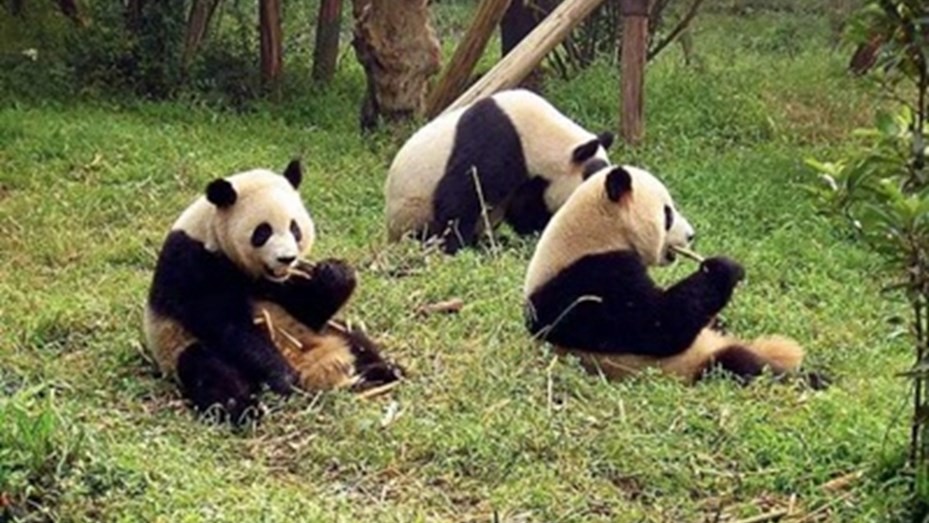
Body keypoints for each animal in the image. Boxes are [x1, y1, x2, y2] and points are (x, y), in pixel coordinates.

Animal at [144, 160, 402, 423]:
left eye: (295, 228)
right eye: (263, 232)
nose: (286, 258)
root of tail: (312, 366)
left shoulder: (284, 282)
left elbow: (310, 309)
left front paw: (335, 273)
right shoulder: (192, 262)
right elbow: (227, 325)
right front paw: (281, 376)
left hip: (320, 333)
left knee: (354, 338)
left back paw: (384, 370)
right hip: (179, 345)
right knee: (209, 370)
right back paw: (247, 409)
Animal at [385, 88, 614, 254]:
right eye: (589, 177)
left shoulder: (531, 178)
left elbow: (526, 207)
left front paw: (538, 234)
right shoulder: (496, 142)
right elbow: (460, 194)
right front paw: (454, 246)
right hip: (411, 210)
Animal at [523, 165, 806, 384]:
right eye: (667, 213)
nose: (691, 235)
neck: (596, 232)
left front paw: (720, 318)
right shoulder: (590, 279)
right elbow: (656, 324)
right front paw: (723, 268)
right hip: (694, 362)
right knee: (743, 365)